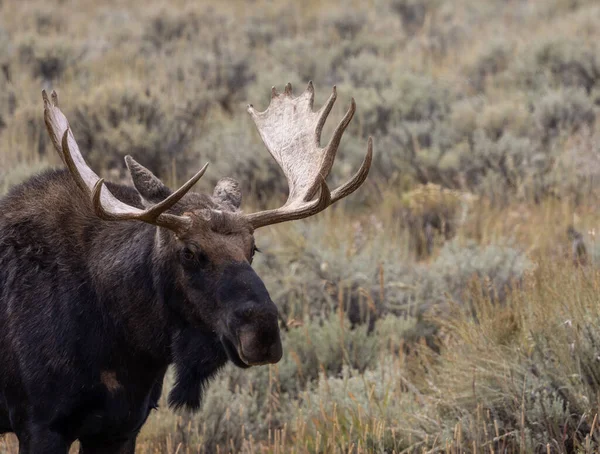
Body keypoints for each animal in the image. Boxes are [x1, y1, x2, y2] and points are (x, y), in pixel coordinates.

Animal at [0, 82, 372, 454]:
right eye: (189, 253)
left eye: (252, 248)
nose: (263, 332)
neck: (126, 339)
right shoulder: (41, 424)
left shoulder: (122, 427)